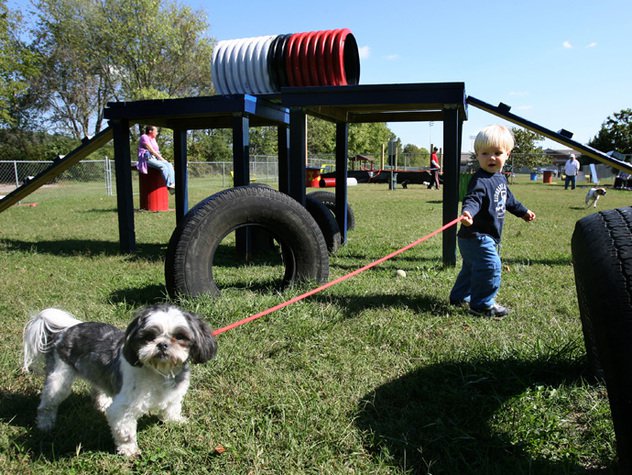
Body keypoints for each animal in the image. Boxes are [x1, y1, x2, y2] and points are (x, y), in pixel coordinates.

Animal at [22, 304, 218, 458]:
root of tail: (64, 330)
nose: (162, 344)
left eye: (180, 337)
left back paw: (101, 403)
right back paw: (45, 424)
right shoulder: (123, 410)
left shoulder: (174, 394)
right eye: (149, 336)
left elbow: (172, 408)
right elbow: (125, 433)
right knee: (47, 404)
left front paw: (175, 421)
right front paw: (129, 450)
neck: (159, 371)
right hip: (59, 379)